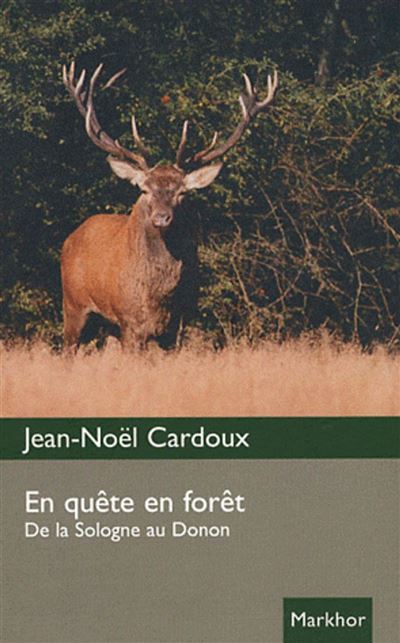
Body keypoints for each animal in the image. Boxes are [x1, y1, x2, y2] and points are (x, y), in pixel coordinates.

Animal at [61, 61, 278, 351]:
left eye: (182, 193)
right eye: (144, 189)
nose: (162, 218)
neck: (158, 297)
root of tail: (70, 239)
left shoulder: (176, 326)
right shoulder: (129, 321)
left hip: (104, 325)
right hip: (73, 306)